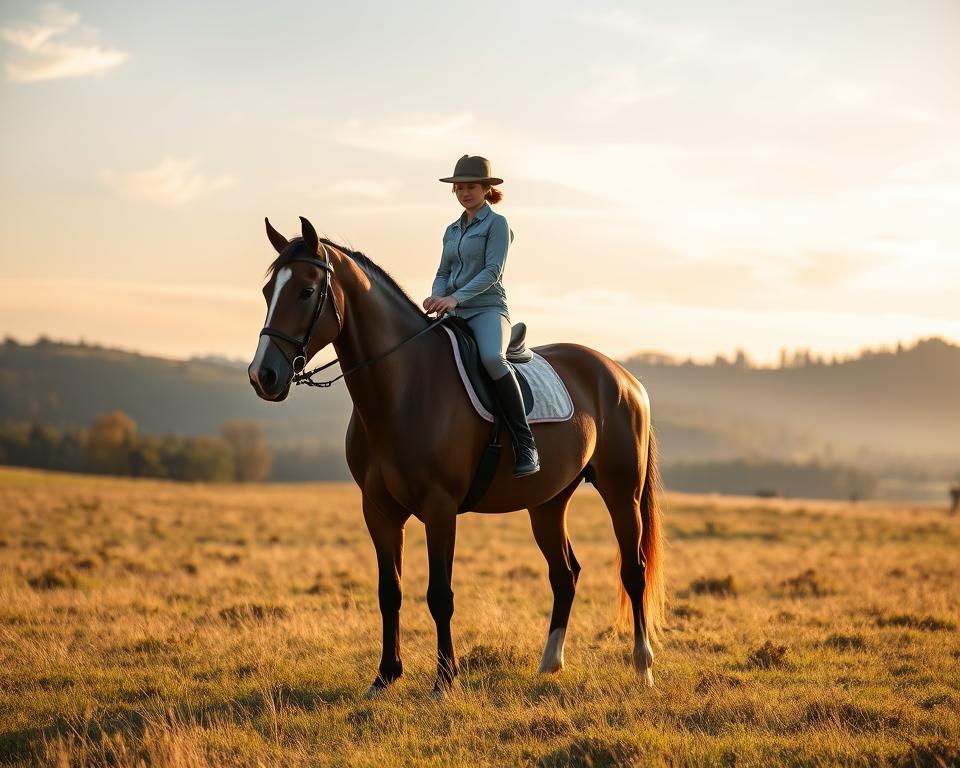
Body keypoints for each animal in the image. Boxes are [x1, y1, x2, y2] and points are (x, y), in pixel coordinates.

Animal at [248, 216, 665, 699]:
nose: (262, 375)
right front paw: (385, 676)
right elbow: (389, 592)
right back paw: (549, 665)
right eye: (268, 291)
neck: (404, 386)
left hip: (622, 492)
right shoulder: (378, 510)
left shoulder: (440, 508)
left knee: (633, 571)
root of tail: (623, 377)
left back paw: (642, 666)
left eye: (305, 291)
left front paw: (444, 680)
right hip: (547, 503)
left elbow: (439, 595)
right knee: (565, 574)